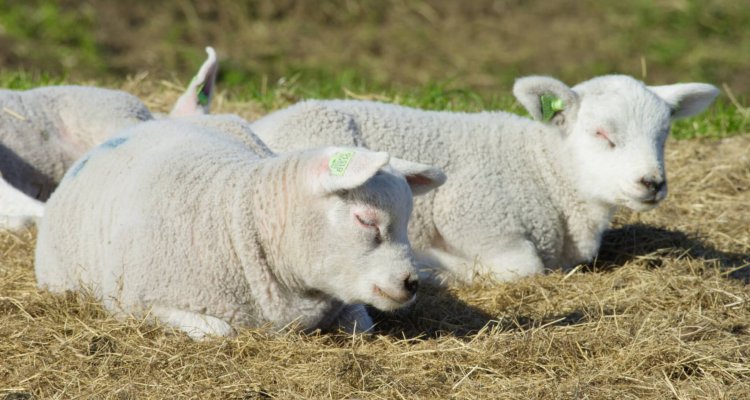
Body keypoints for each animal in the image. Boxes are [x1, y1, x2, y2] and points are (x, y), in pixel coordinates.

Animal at [251, 74, 724, 282]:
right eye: (601, 133)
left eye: (664, 134)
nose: (652, 183)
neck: (544, 168)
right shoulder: (472, 209)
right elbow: (523, 268)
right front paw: (439, 265)